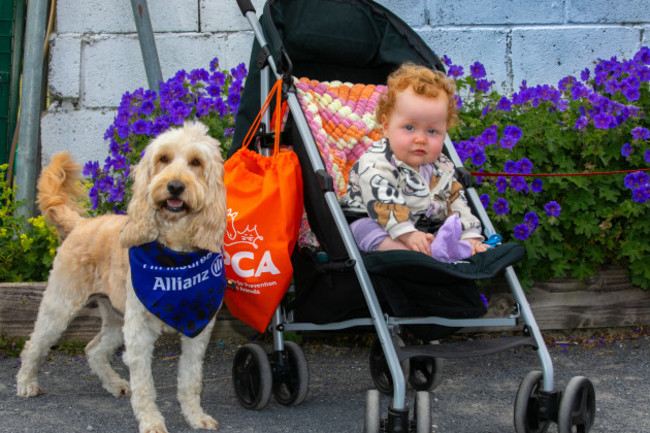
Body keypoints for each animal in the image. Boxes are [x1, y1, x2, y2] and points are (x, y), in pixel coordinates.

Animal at [16, 121, 228, 432]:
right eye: (163, 158)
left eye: (196, 162)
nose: (175, 186)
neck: (174, 255)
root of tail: (81, 224)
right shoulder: (139, 332)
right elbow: (145, 385)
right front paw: (151, 421)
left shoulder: (197, 332)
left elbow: (190, 380)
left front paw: (194, 416)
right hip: (60, 306)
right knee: (34, 344)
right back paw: (26, 383)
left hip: (116, 317)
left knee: (93, 348)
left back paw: (114, 383)